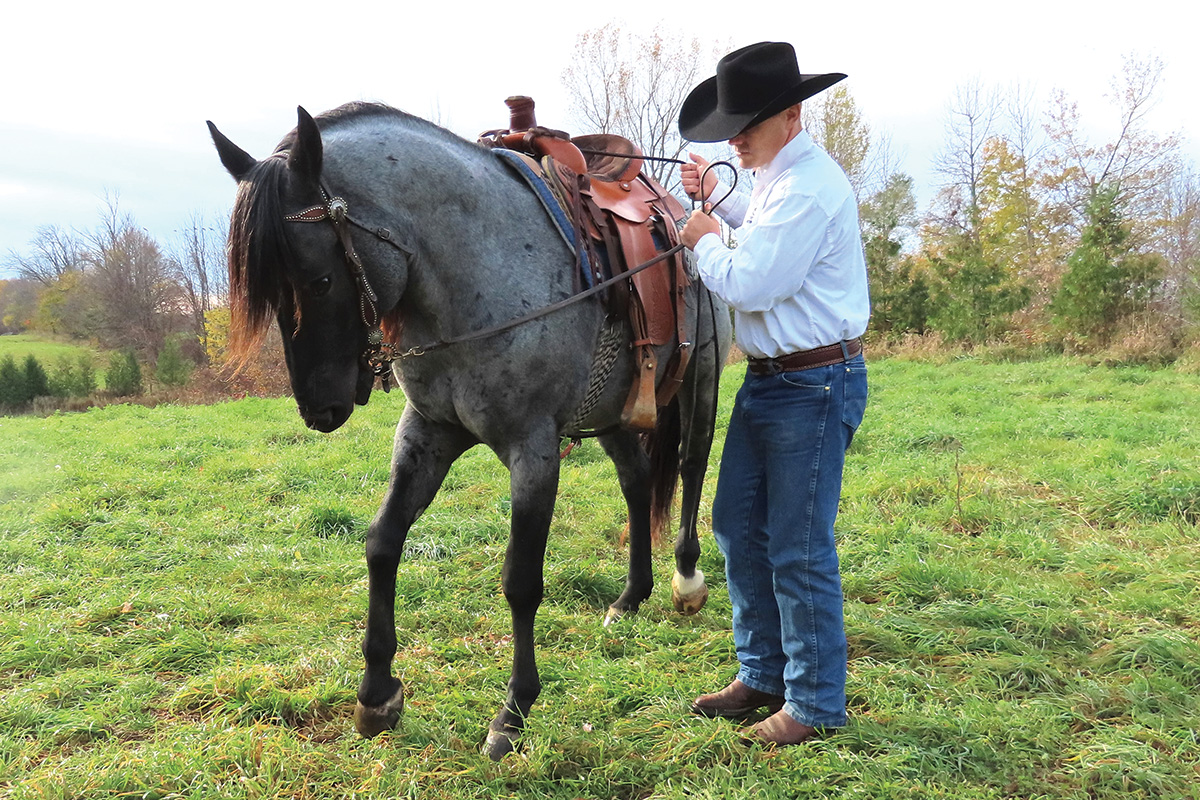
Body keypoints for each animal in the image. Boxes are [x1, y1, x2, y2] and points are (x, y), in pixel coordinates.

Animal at [207, 103, 729, 762]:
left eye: (319, 280)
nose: (319, 410)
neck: (473, 268)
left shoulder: (534, 450)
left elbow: (521, 581)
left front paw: (514, 711)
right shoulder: (429, 432)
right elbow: (382, 542)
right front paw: (378, 692)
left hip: (700, 379)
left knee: (690, 466)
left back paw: (686, 580)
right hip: (608, 411)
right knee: (637, 482)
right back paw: (631, 596)